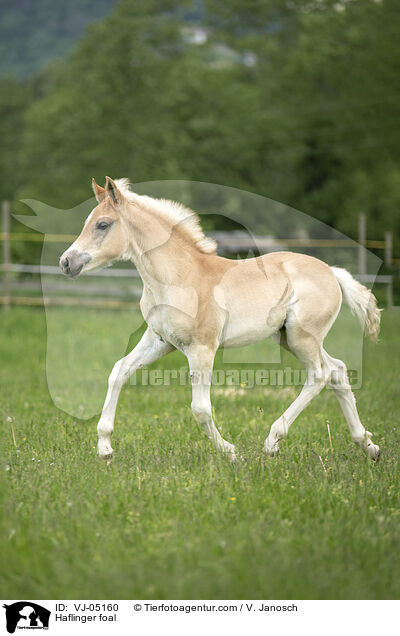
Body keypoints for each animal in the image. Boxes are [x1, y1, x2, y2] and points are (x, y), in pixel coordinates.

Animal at [59, 178, 382, 462]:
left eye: (103, 224)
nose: (66, 262)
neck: (179, 277)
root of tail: (331, 272)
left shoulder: (202, 348)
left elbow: (200, 408)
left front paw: (230, 452)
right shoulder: (159, 340)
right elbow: (119, 371)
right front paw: (104, 447)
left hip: (303, 338)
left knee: (319, 374)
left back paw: (272, 442)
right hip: (289, 337)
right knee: (337, 370)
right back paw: (368, 446)